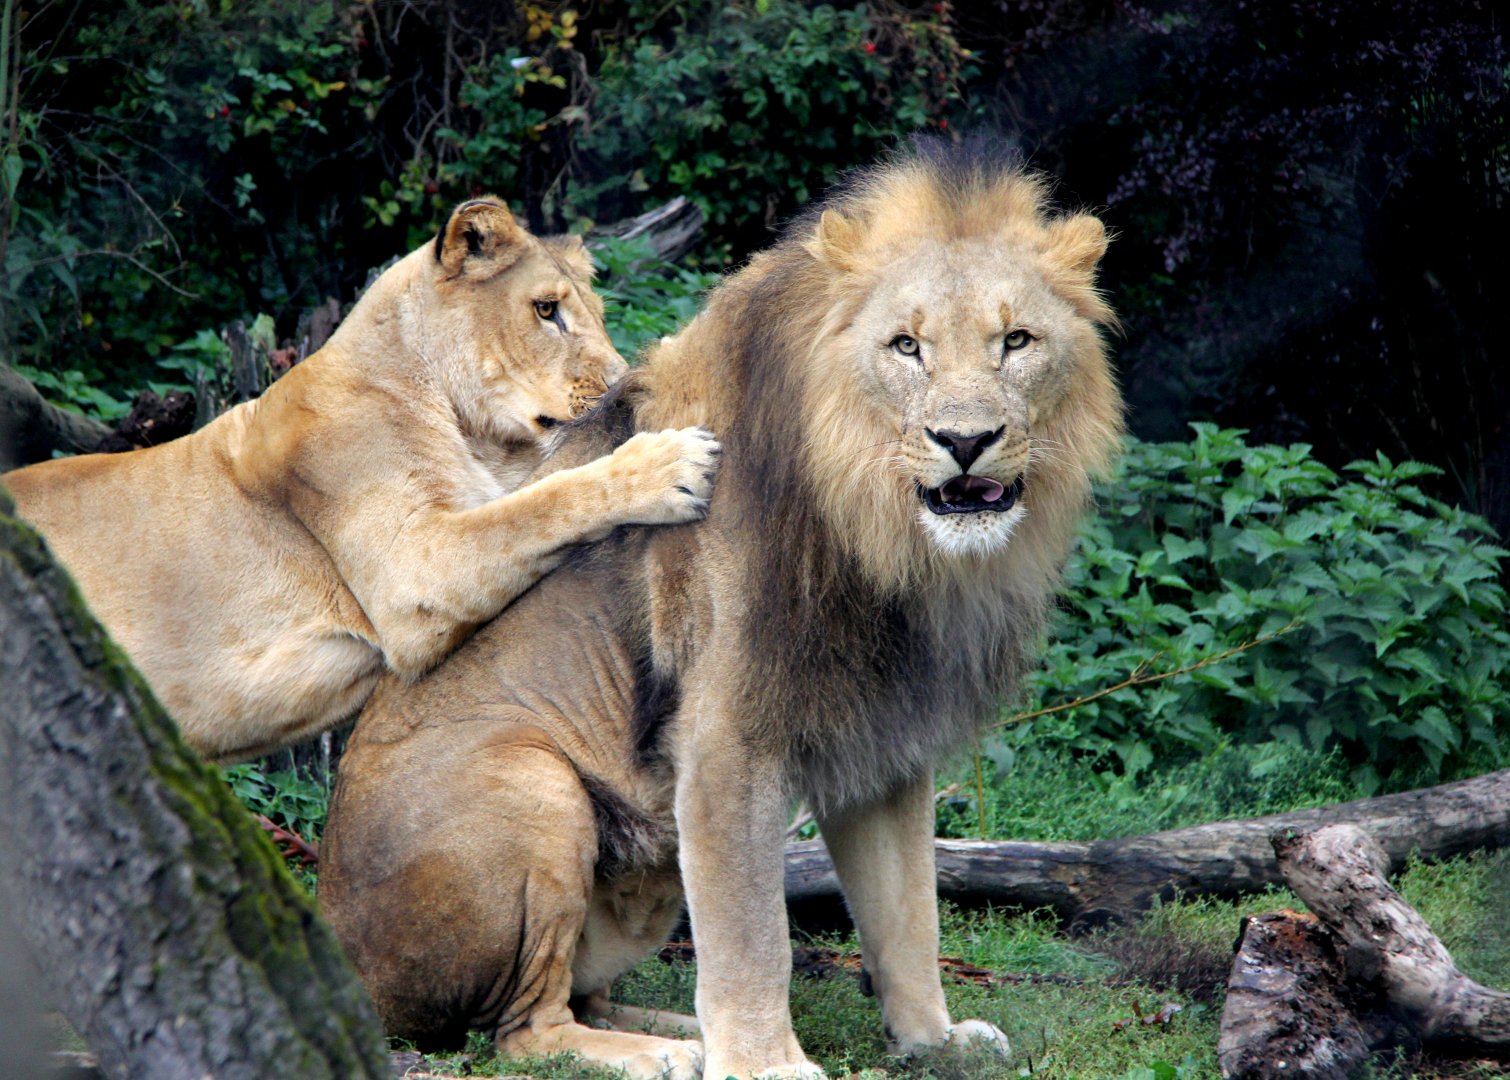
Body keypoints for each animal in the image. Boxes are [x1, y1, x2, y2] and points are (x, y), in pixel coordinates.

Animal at [1, 198, 719, 763]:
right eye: (547, 310)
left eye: (595, 312)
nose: (622, 379)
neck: (474, 435)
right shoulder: (412, 573)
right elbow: (541, 504)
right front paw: (665, 464)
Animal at [318, 141, 1123, 1078]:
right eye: (907, 346)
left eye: (1017, 340)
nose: (965, 442)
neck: (886, 539)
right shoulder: (725, 740)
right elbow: (751, 929)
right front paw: (769, 1062)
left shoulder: (884, 735)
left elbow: (908, 909)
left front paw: (933, 1039)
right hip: (534, 783)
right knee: (522, 1030)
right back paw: (659, 1054)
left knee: (578, 996)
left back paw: (680, 1034)